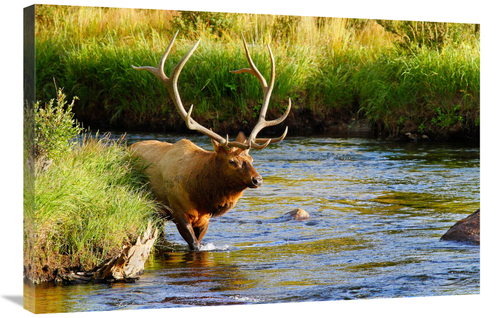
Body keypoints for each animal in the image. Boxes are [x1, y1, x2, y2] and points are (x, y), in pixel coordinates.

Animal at [131, 32, 292, 251]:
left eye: (251, 160)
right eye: (232, 161)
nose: (257, 179)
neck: (201, 195)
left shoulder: (204, 219)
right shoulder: (178, 212)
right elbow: (194, 246)